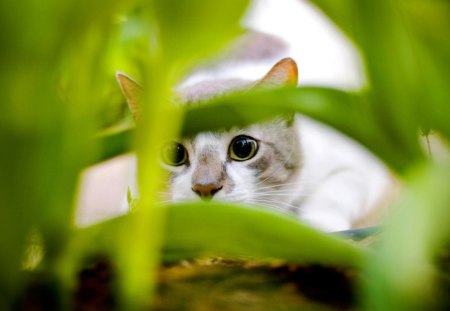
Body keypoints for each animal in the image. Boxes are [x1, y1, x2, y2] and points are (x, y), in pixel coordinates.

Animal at [116, 58, 390, 232]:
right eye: (174, 154)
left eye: (243, 148)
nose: (205, 187)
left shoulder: (356, 162)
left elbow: (335, 193)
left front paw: (318, 227)